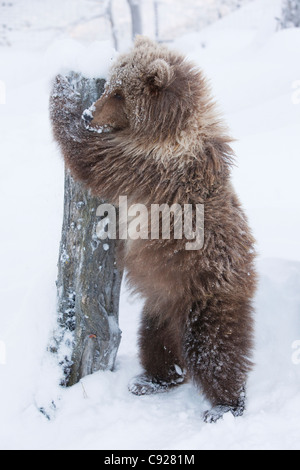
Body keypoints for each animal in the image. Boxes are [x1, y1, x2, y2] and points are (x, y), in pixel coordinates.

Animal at [50, 35, 256, 420]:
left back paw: (225, 404)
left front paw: (62, 90)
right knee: (157, 342)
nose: (89, 113)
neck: (164, 131)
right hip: (161, 298)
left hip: (204, 291)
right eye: (109, 86)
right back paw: (154, 379)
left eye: (119, 93)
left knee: (214, 350)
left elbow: (89, 155)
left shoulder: (148, 166)